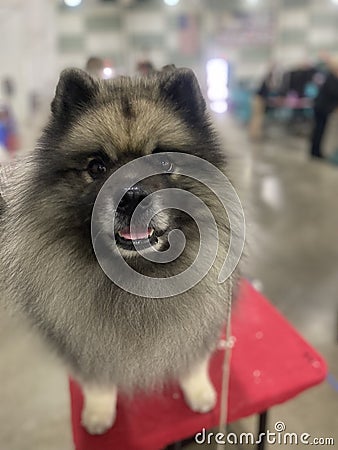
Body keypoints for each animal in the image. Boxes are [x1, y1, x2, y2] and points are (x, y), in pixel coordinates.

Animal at [0, 67, 239, 432]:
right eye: (97, 166)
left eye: (165, 162)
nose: (132, 195)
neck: (137, 272)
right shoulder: (83, 343)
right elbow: (96, 378)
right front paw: (99, 411)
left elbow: (193, 360)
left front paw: (199, 392)